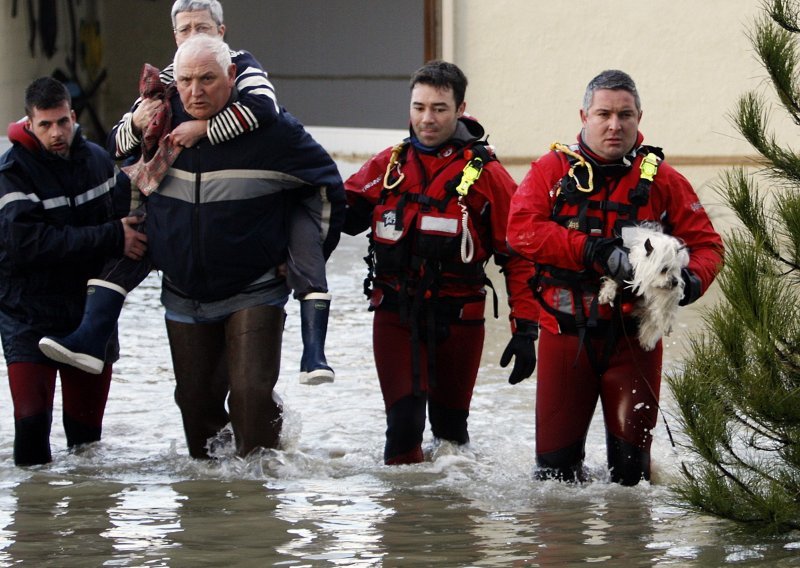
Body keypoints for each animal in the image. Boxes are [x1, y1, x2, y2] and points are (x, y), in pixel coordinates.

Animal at [510, 69, 728, 486]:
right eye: (605, 114)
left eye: (679, 273)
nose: (676, 283)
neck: (608, 167)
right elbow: (528, 224)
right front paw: (608, 278)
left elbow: (704, 247)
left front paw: (647, 331)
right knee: (559, 455)